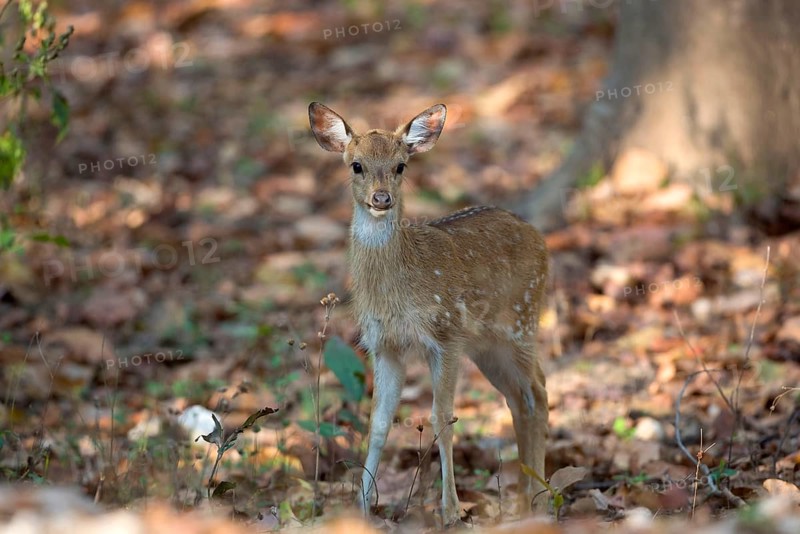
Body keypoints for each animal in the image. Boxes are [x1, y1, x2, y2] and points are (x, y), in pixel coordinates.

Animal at [308, 102, 549, 526]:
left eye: (401, 165)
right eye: (356, 165)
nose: (382, 198)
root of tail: (542, 242)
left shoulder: (447, 335)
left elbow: (442, 418)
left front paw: (450, 511)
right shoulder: (384, 345)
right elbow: (378, 422)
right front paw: (362, 506)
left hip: (521, 322)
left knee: (538, 389)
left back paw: (539, 497)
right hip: (487, 347)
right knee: (519, 398)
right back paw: (524, 500)